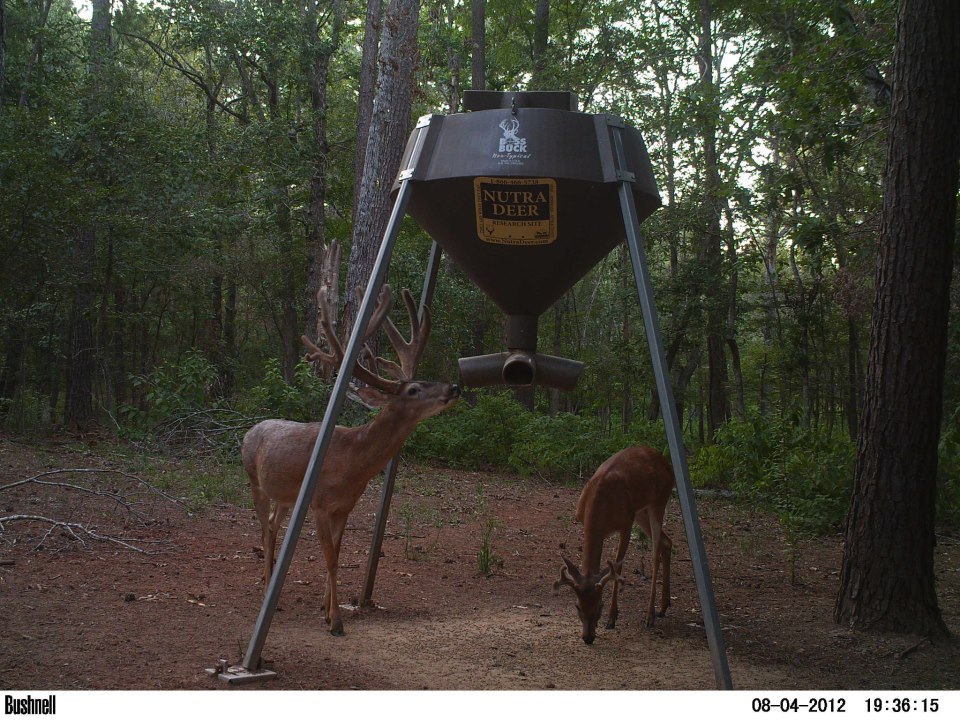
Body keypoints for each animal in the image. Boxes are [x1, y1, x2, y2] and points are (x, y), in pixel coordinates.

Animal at [241, 283, 459, 636]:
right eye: (413, 389)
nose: (454, 387)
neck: (353, 464)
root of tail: (249, 430)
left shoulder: (345, 506)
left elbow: (339, 551)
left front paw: (326, 608)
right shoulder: (318, 503)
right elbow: (330, 557)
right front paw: (336, 622)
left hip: (286, 496)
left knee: (273, 524)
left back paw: (273, 585)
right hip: (254, 481)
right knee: (262, 528)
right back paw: (265, 589)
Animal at [554, 445, 675, 644]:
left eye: (600, 605)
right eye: (577, 606)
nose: (588, 638)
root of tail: (666, 462)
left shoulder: (625, 524)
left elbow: (617, 568)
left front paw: (611, 618)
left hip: (658, 502)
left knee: (656, 553)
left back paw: (650, 616)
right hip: (640, 512)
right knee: (667, 542)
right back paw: (663, 607)